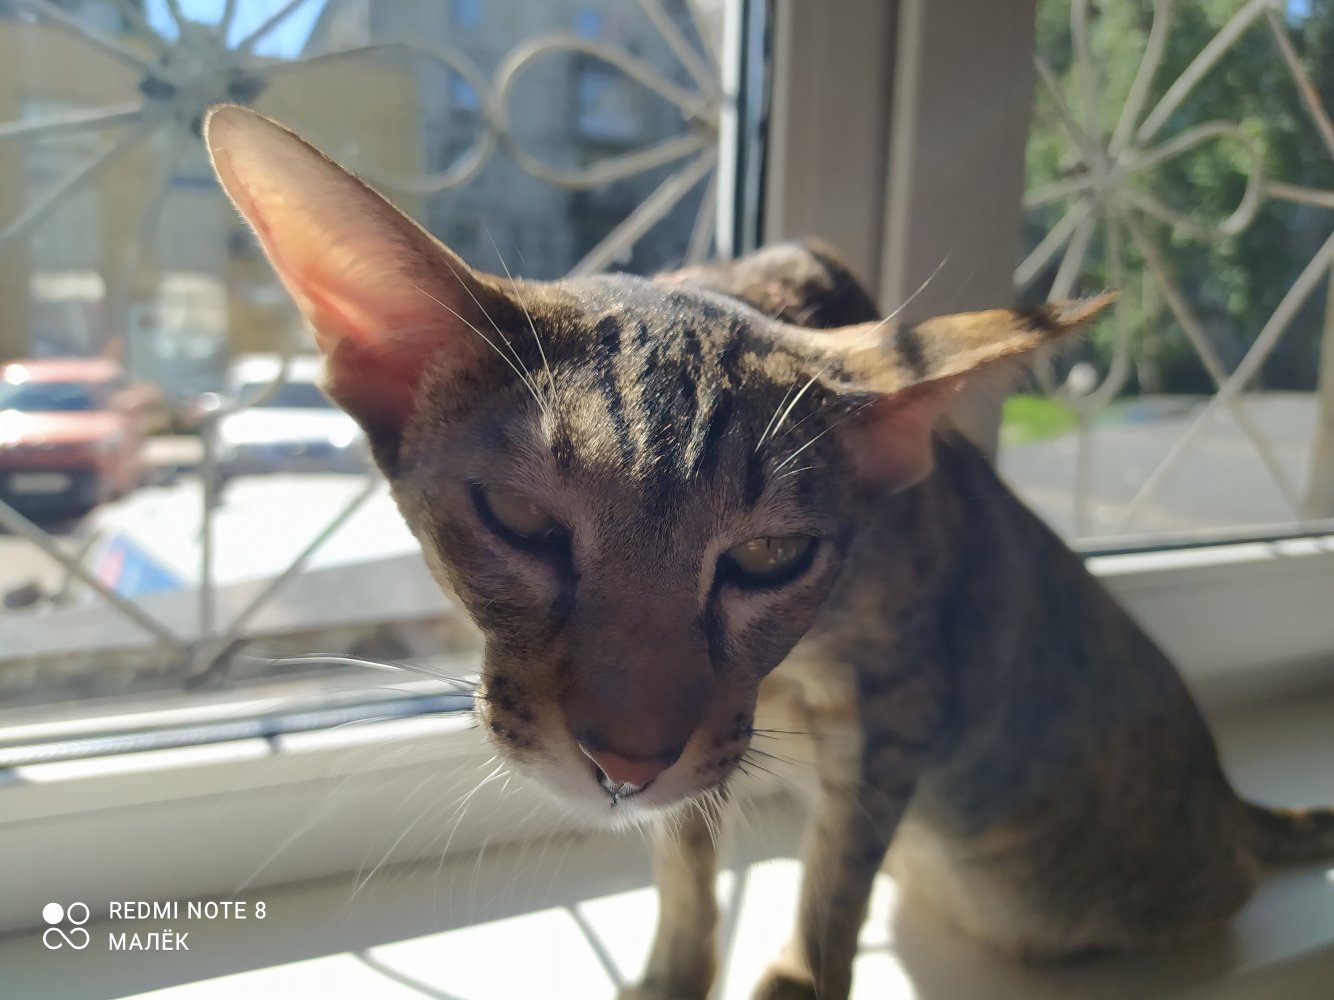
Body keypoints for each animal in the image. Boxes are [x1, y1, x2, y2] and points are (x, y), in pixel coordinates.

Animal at [204, 104, 1334, 1000]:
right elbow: (686, 853)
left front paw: (793, 971)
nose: (625, 762)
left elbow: (834, 875)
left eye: (772, 554)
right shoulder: (711, 746)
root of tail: (1230, 800)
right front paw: (674, 969)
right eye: (521, 519)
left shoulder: (894, 699)